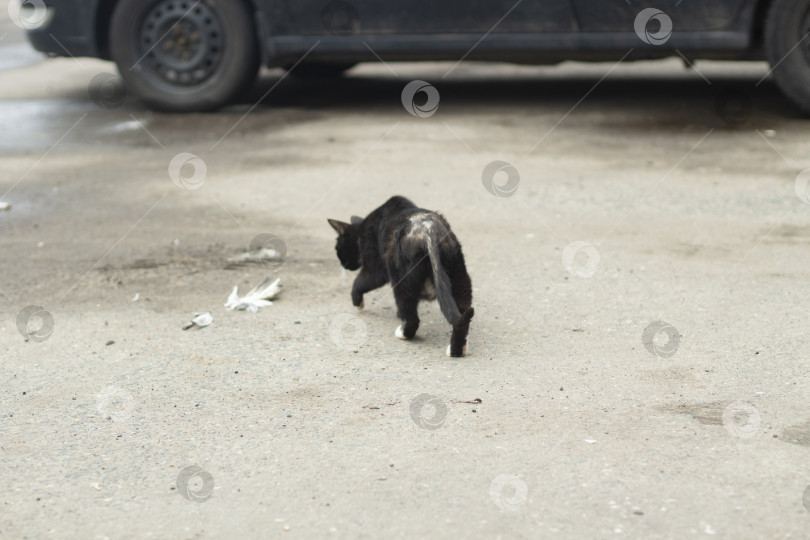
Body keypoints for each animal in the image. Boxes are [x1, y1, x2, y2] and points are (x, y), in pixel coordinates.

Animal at [328, 196, 474, 356]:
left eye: (337, 249)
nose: (343, 265)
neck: (361, 230)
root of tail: (430, 230)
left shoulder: (376, 267)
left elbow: (360, 282)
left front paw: (357, 301)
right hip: (459, 275)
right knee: (463, 316)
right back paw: (457, 350)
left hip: (401, 277)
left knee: (411, 315)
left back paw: (403, 333)